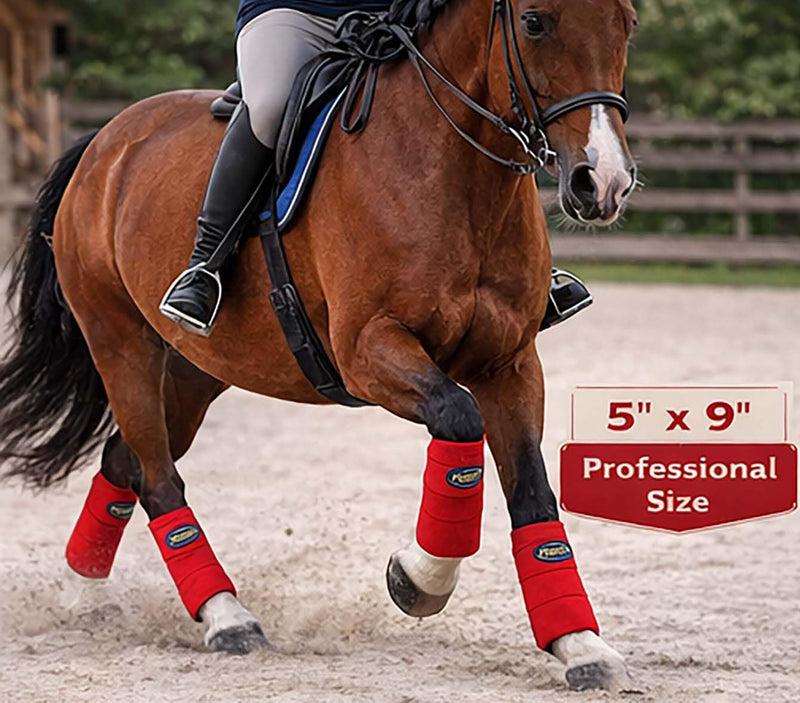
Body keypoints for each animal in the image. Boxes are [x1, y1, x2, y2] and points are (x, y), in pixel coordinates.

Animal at [0, 0, 637, 692]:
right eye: (534, 23)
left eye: (627, 23)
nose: (602, 182)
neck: (452, 172)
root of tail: (107, 140)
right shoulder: (367, 352)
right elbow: (458, 419)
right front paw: (418, 579)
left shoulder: (510, 365)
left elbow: (532, 496)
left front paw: (579, 645)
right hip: (121, 343)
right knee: (159, 477)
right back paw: (226, 618)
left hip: (198, 370)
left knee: (128, 462)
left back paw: (83, 594)